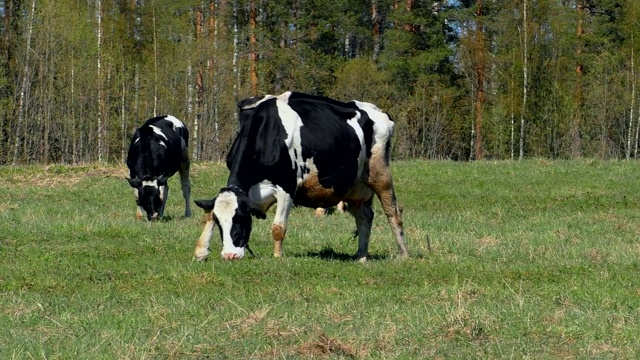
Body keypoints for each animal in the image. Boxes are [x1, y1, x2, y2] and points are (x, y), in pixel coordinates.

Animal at [192, 92, 408, 262]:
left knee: (393, 213)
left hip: (380, 174)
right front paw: (201, 251)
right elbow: (208, 214)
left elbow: (278, 228)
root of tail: (379, 112)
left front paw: (277, 256)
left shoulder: (286, 186)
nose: (230, 255)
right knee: (364, 217)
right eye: (221, 223)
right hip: (356, 187)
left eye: (242, 218)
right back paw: (361, 256)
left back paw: (403, 254)